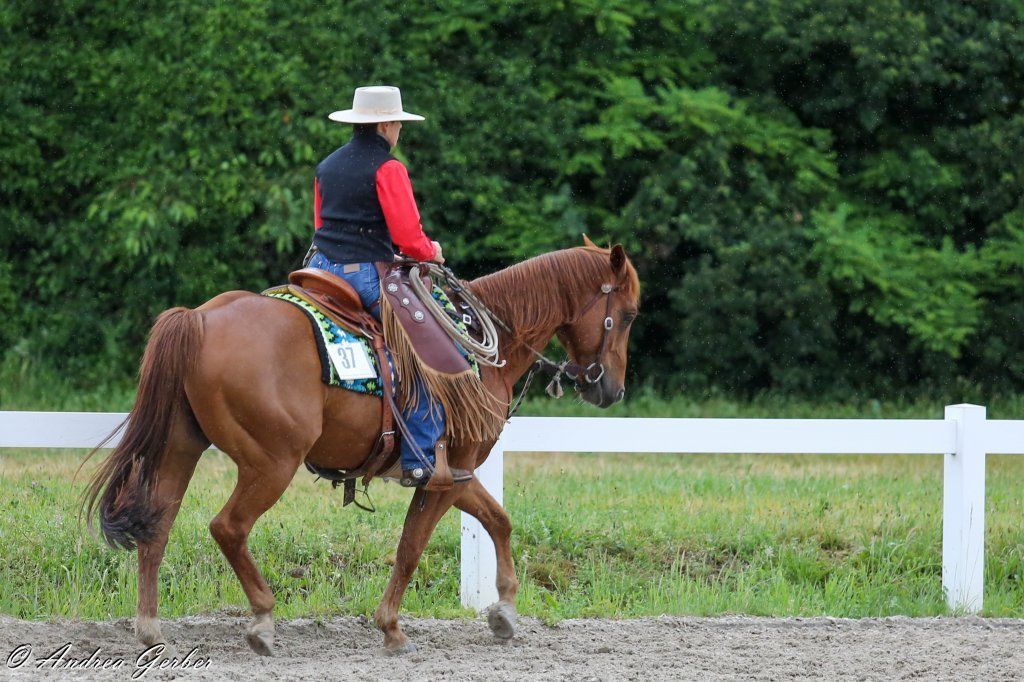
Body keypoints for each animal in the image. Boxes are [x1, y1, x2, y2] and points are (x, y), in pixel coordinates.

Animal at [82, 237, 641, 655]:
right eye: (630, 314)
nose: (610, 388)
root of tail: (199, 319)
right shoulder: (442, 476)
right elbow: (412, 546)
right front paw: (391, 627)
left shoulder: (458, 473)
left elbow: (498, 520)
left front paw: (503, 611)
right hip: (271, 463)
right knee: (228, 527)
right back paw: (262, 619)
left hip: (181, 447)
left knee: (157, 526)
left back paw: (150, 628)